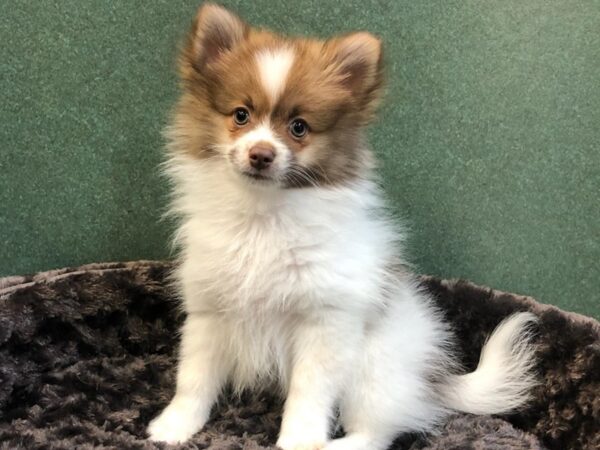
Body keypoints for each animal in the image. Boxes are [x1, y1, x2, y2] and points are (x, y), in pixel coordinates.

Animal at [148, 4, 536, 450]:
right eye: (240, 115)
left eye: (299, 127)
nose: (261, 154)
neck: (264, 215)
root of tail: (429, 378)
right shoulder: (209, 312)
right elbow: (193, 377)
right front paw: (175, 426)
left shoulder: (325, 322)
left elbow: (308, 392)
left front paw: (299, 441)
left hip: (371, 372)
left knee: (376, 432)